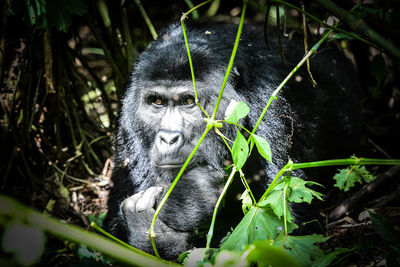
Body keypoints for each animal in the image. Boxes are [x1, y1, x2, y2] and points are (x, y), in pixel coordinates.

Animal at [104, 23, 360, 262]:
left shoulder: (270, 104)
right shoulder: (127, 120)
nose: (168, 138)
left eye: (189, 102)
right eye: (156, 102)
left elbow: (285, 233)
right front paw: (146, 229)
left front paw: (169, 216)